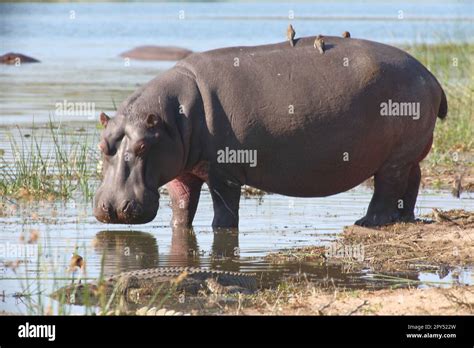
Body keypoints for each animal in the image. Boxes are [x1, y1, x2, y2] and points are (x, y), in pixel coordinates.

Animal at [93, 35, 448, 228]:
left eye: (142, 147)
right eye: (101, 146)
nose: (112, 209)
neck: (171, 119)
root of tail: (429, 75)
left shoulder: (224, 172)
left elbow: (224, 212)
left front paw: (220, 228)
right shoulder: (185, 170)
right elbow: (182, 205)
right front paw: (177, 226)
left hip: (394, 157)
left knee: (387, 186)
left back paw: (367, 222)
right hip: (410, 153)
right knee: (412, 179)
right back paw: (404, 218)